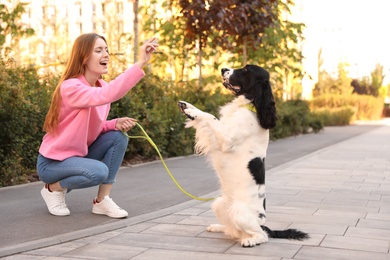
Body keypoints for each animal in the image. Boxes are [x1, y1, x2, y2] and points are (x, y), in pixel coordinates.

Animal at [178, 64, 310, 247]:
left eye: (247, 70)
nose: (223, 69)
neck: (252, 107)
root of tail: (262, 224)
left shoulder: (226, 139)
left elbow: (210, 116)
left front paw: (192, 111)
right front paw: (187, 106)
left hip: (240, 213)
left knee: (262, 235)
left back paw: (250, 241)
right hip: (220, 204)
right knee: (232, 230)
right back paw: (218, 227)